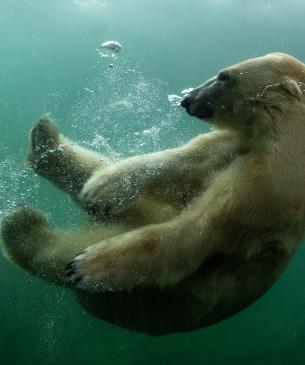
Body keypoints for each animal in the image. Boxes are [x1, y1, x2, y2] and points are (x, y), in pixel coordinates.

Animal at [1, 52, 304, 336]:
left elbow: (195, 231)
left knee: (56, 255)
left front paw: (86, 266)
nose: (187, 100)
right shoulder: (242, 145)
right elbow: (187, 163)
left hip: (136, 298)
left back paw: (23, 225)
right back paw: (45, 143)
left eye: (223, 77)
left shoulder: (270, 187)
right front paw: (102, 188)